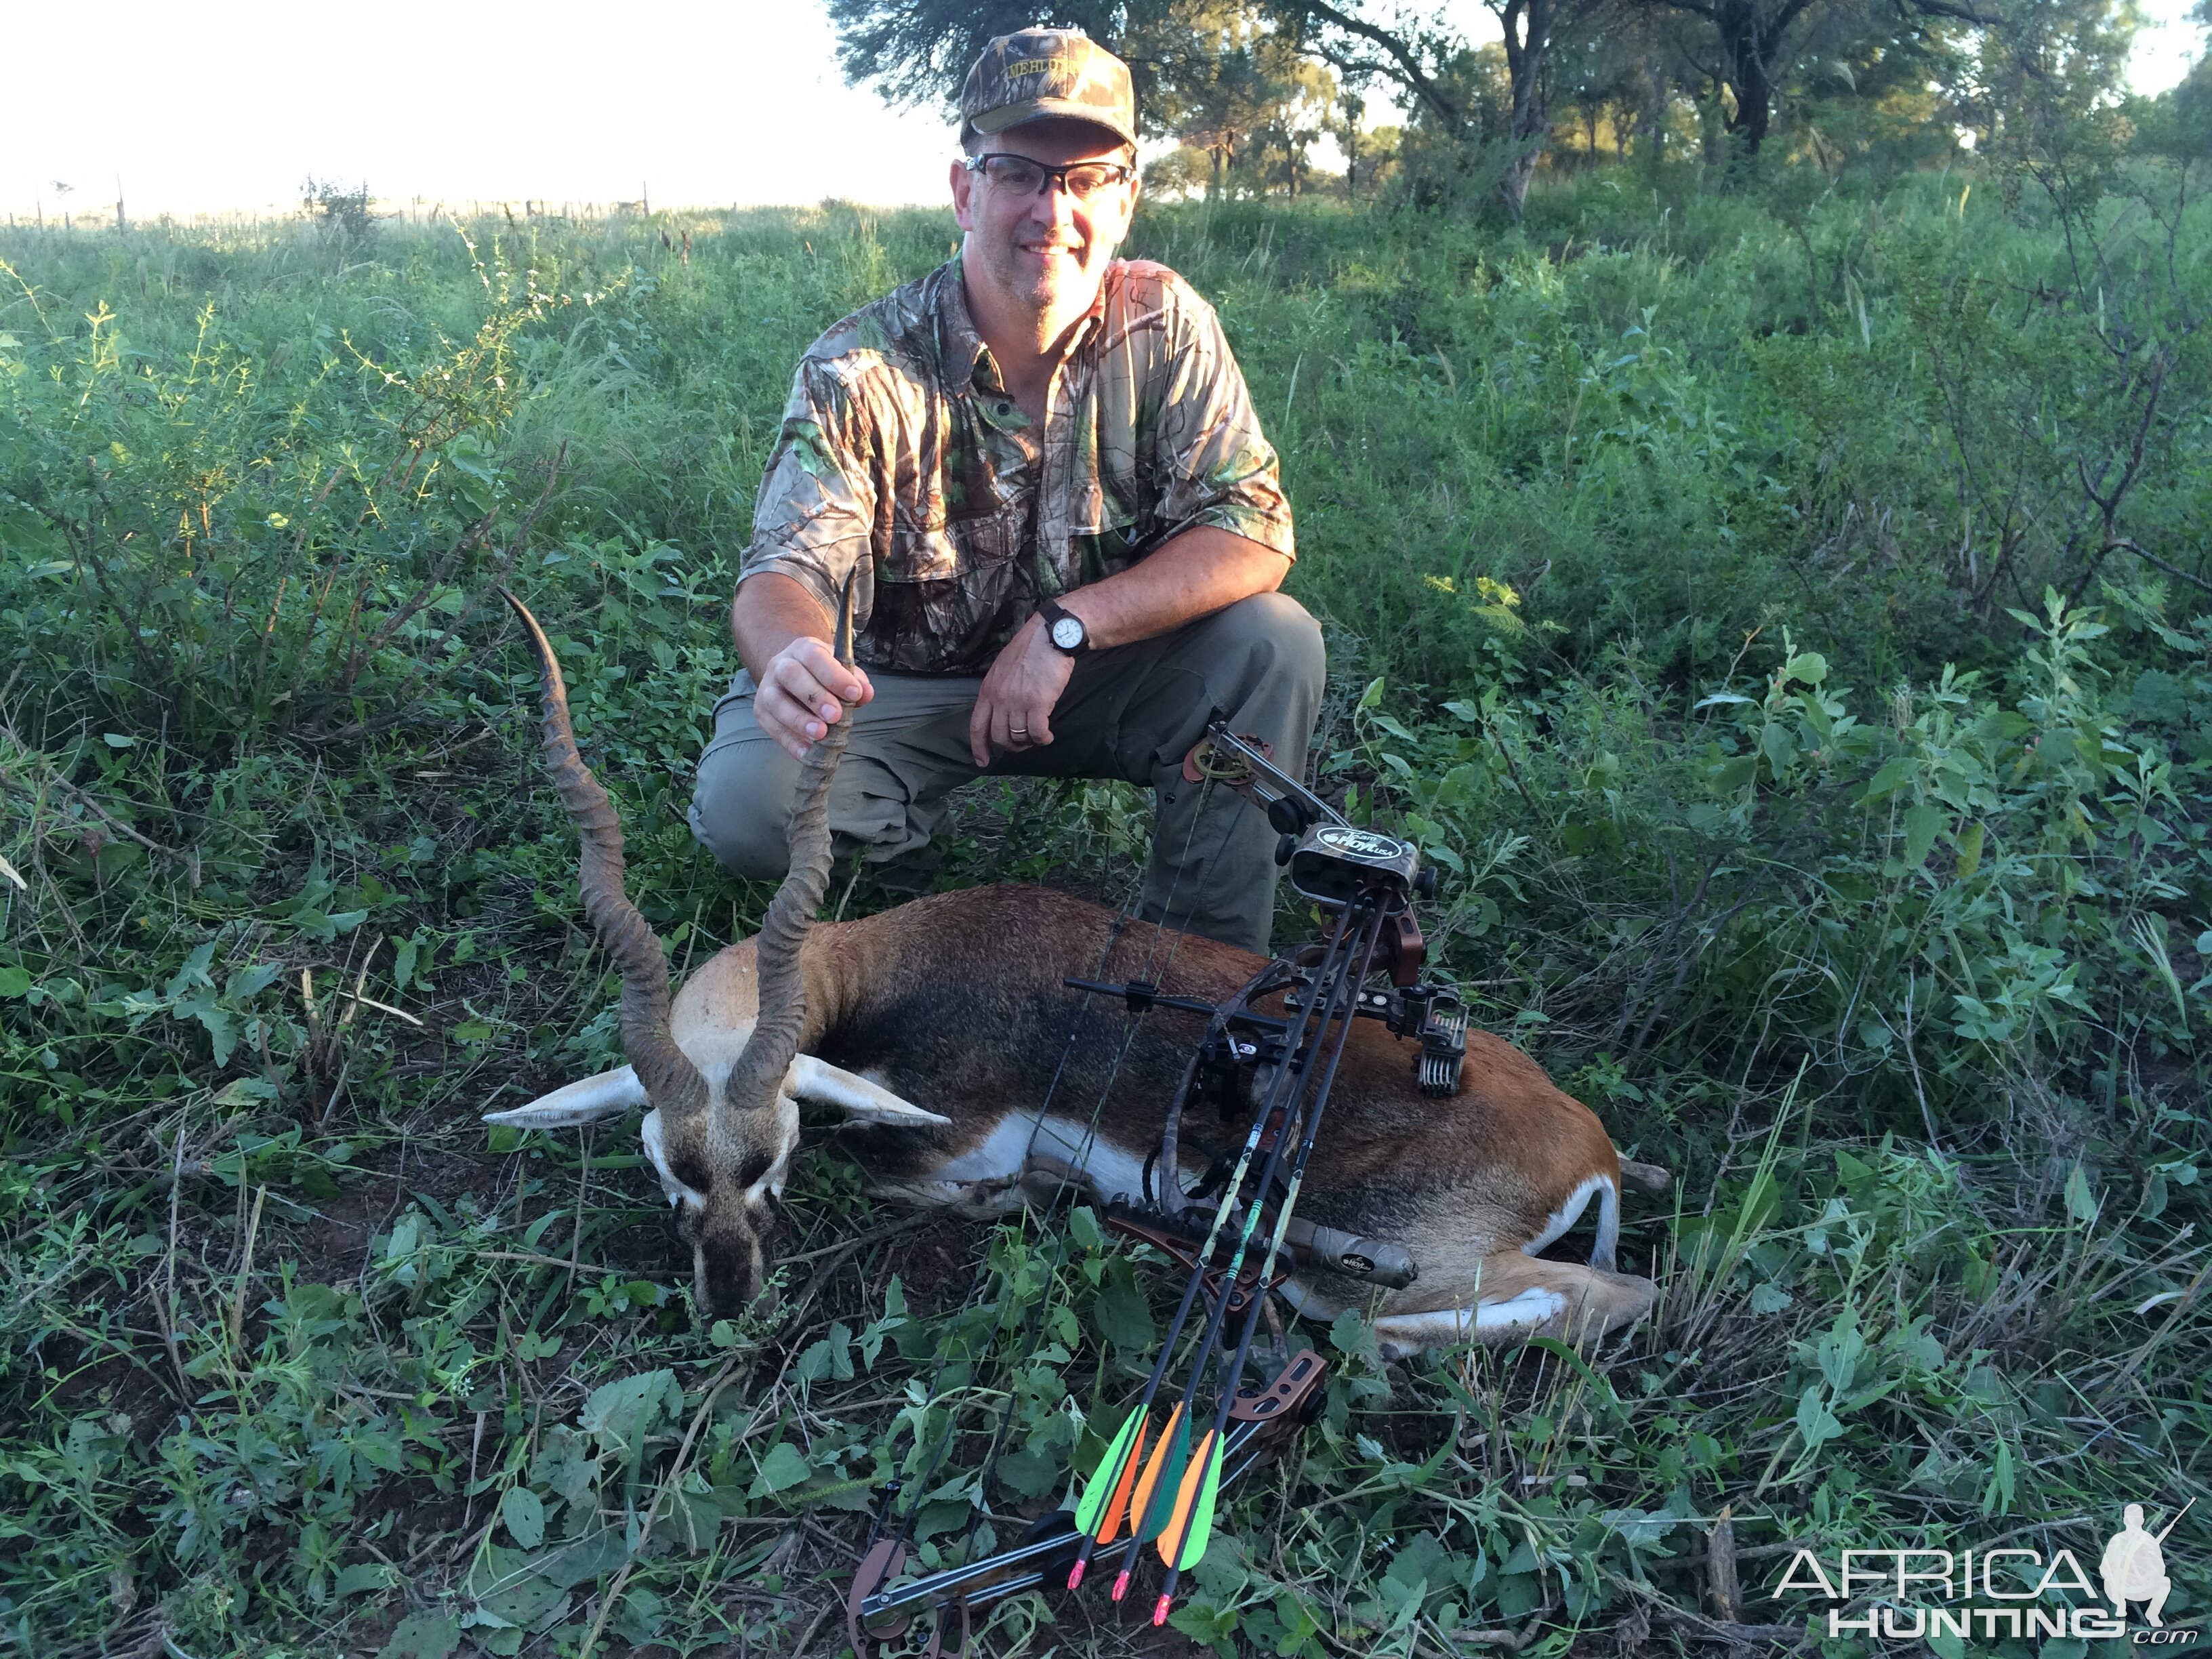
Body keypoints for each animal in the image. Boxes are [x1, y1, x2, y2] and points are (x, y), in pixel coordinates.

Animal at [484, 606, 1663, 1353]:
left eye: (771, 1155)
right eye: (663, 1165)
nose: (728, 1299)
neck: (886, 968)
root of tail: (1590, 1142)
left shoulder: (953, 1137)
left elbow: (901, 1169)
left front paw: (1032, 1193)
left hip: (1375, 1253)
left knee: (1606, 1292)